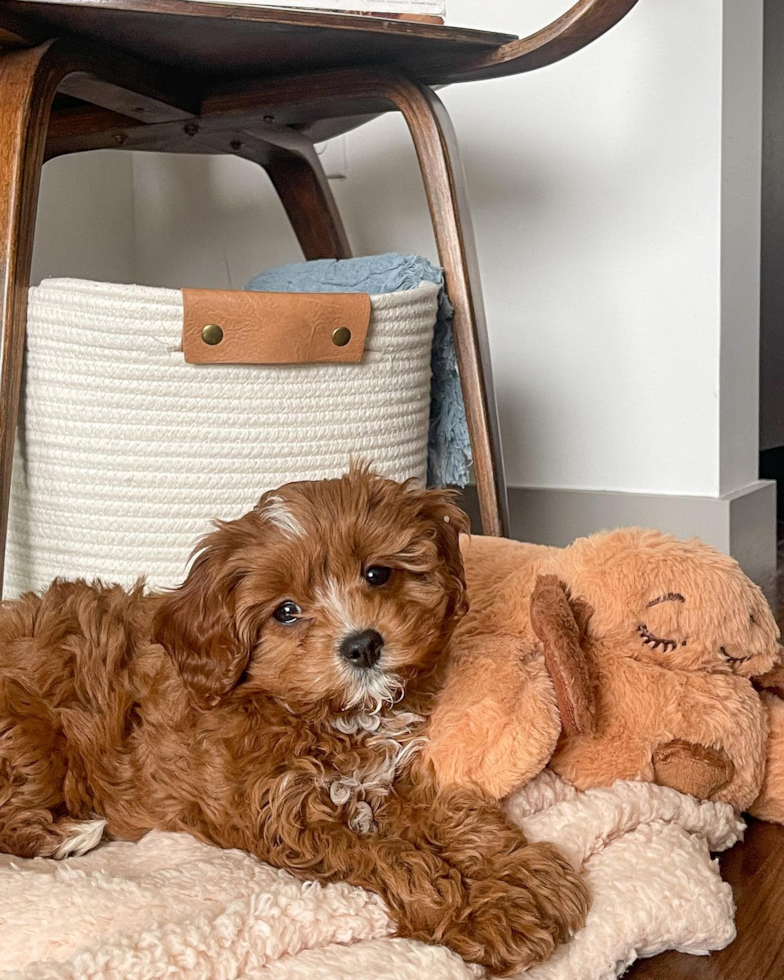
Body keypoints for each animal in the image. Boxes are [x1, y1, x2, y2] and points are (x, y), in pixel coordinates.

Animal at [0, 468, 588, 972]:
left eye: (377, 573)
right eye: (285, 611)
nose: (363, 645)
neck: (327, 715)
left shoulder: (387, 779)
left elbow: (454, 816)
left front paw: (523, 873)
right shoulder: (288, 817)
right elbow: (397, 858)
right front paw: (486, 916)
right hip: (31, 738)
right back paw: (68, 834)